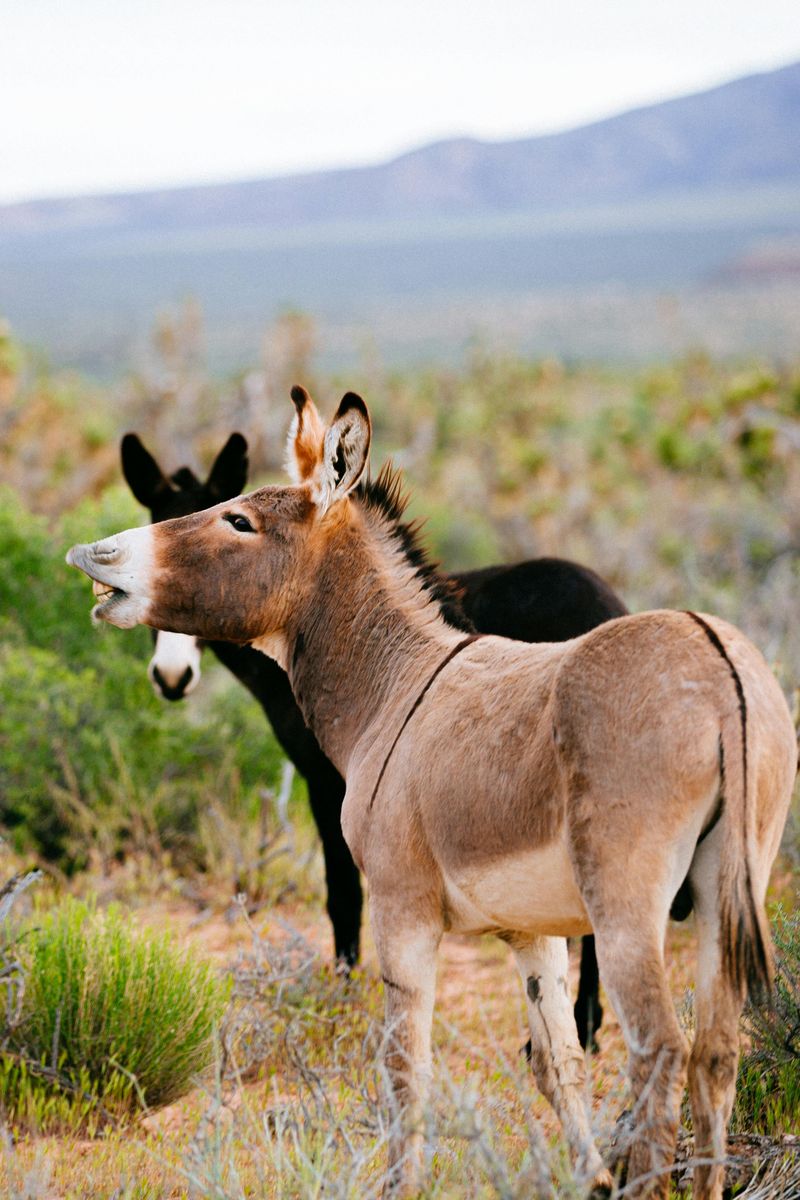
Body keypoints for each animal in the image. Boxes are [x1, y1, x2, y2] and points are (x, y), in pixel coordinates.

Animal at [121, 430, 629, 1049]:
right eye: (153, 526)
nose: (171, 678)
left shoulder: (327, 780)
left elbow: (341, 893)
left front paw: (340, 999)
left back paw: (580, 1024)